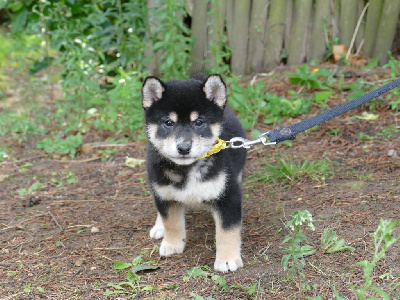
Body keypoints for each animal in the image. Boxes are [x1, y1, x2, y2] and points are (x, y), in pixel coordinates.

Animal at [141, 73, 247, 272]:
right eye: (168, 122)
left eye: (199, 122)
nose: (183, 148)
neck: (187, 170)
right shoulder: (164, 193)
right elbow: (171, 222)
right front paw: (172, 244)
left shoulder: (228, 195)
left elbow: (227, 230)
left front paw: (227, 259)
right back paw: (159, 227)